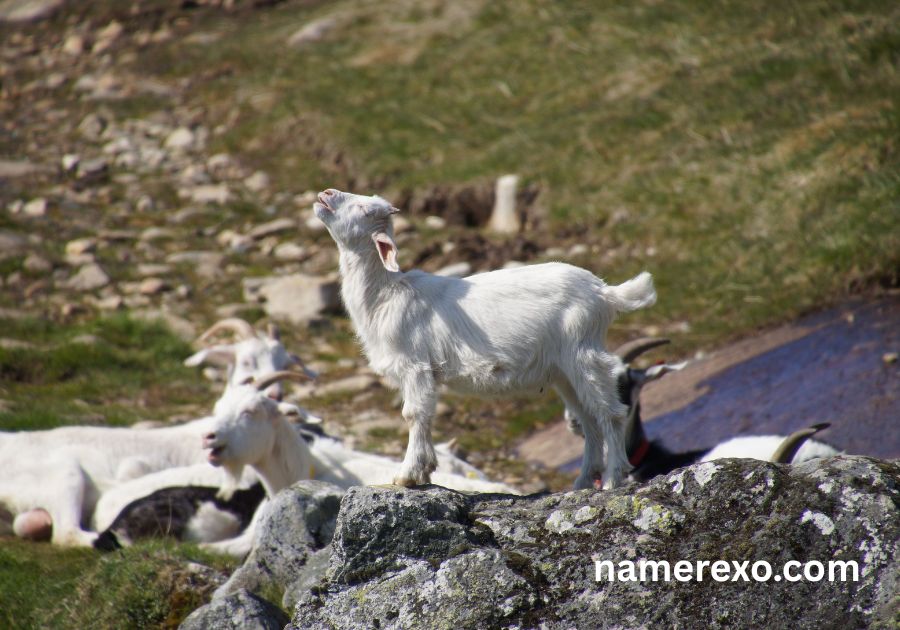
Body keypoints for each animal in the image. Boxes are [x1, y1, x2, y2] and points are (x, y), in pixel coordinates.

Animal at [314, 188, 656, 490]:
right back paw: (583, 482)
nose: (326, 194)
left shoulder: (415, 366)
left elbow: (413, 414)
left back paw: (611, 480)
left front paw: (408, 475)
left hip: (584, 352)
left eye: (365, 209)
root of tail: (606, 293)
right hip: (563, 372)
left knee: (611, 413)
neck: (386, 295)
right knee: (589, 421)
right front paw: (426, 470)